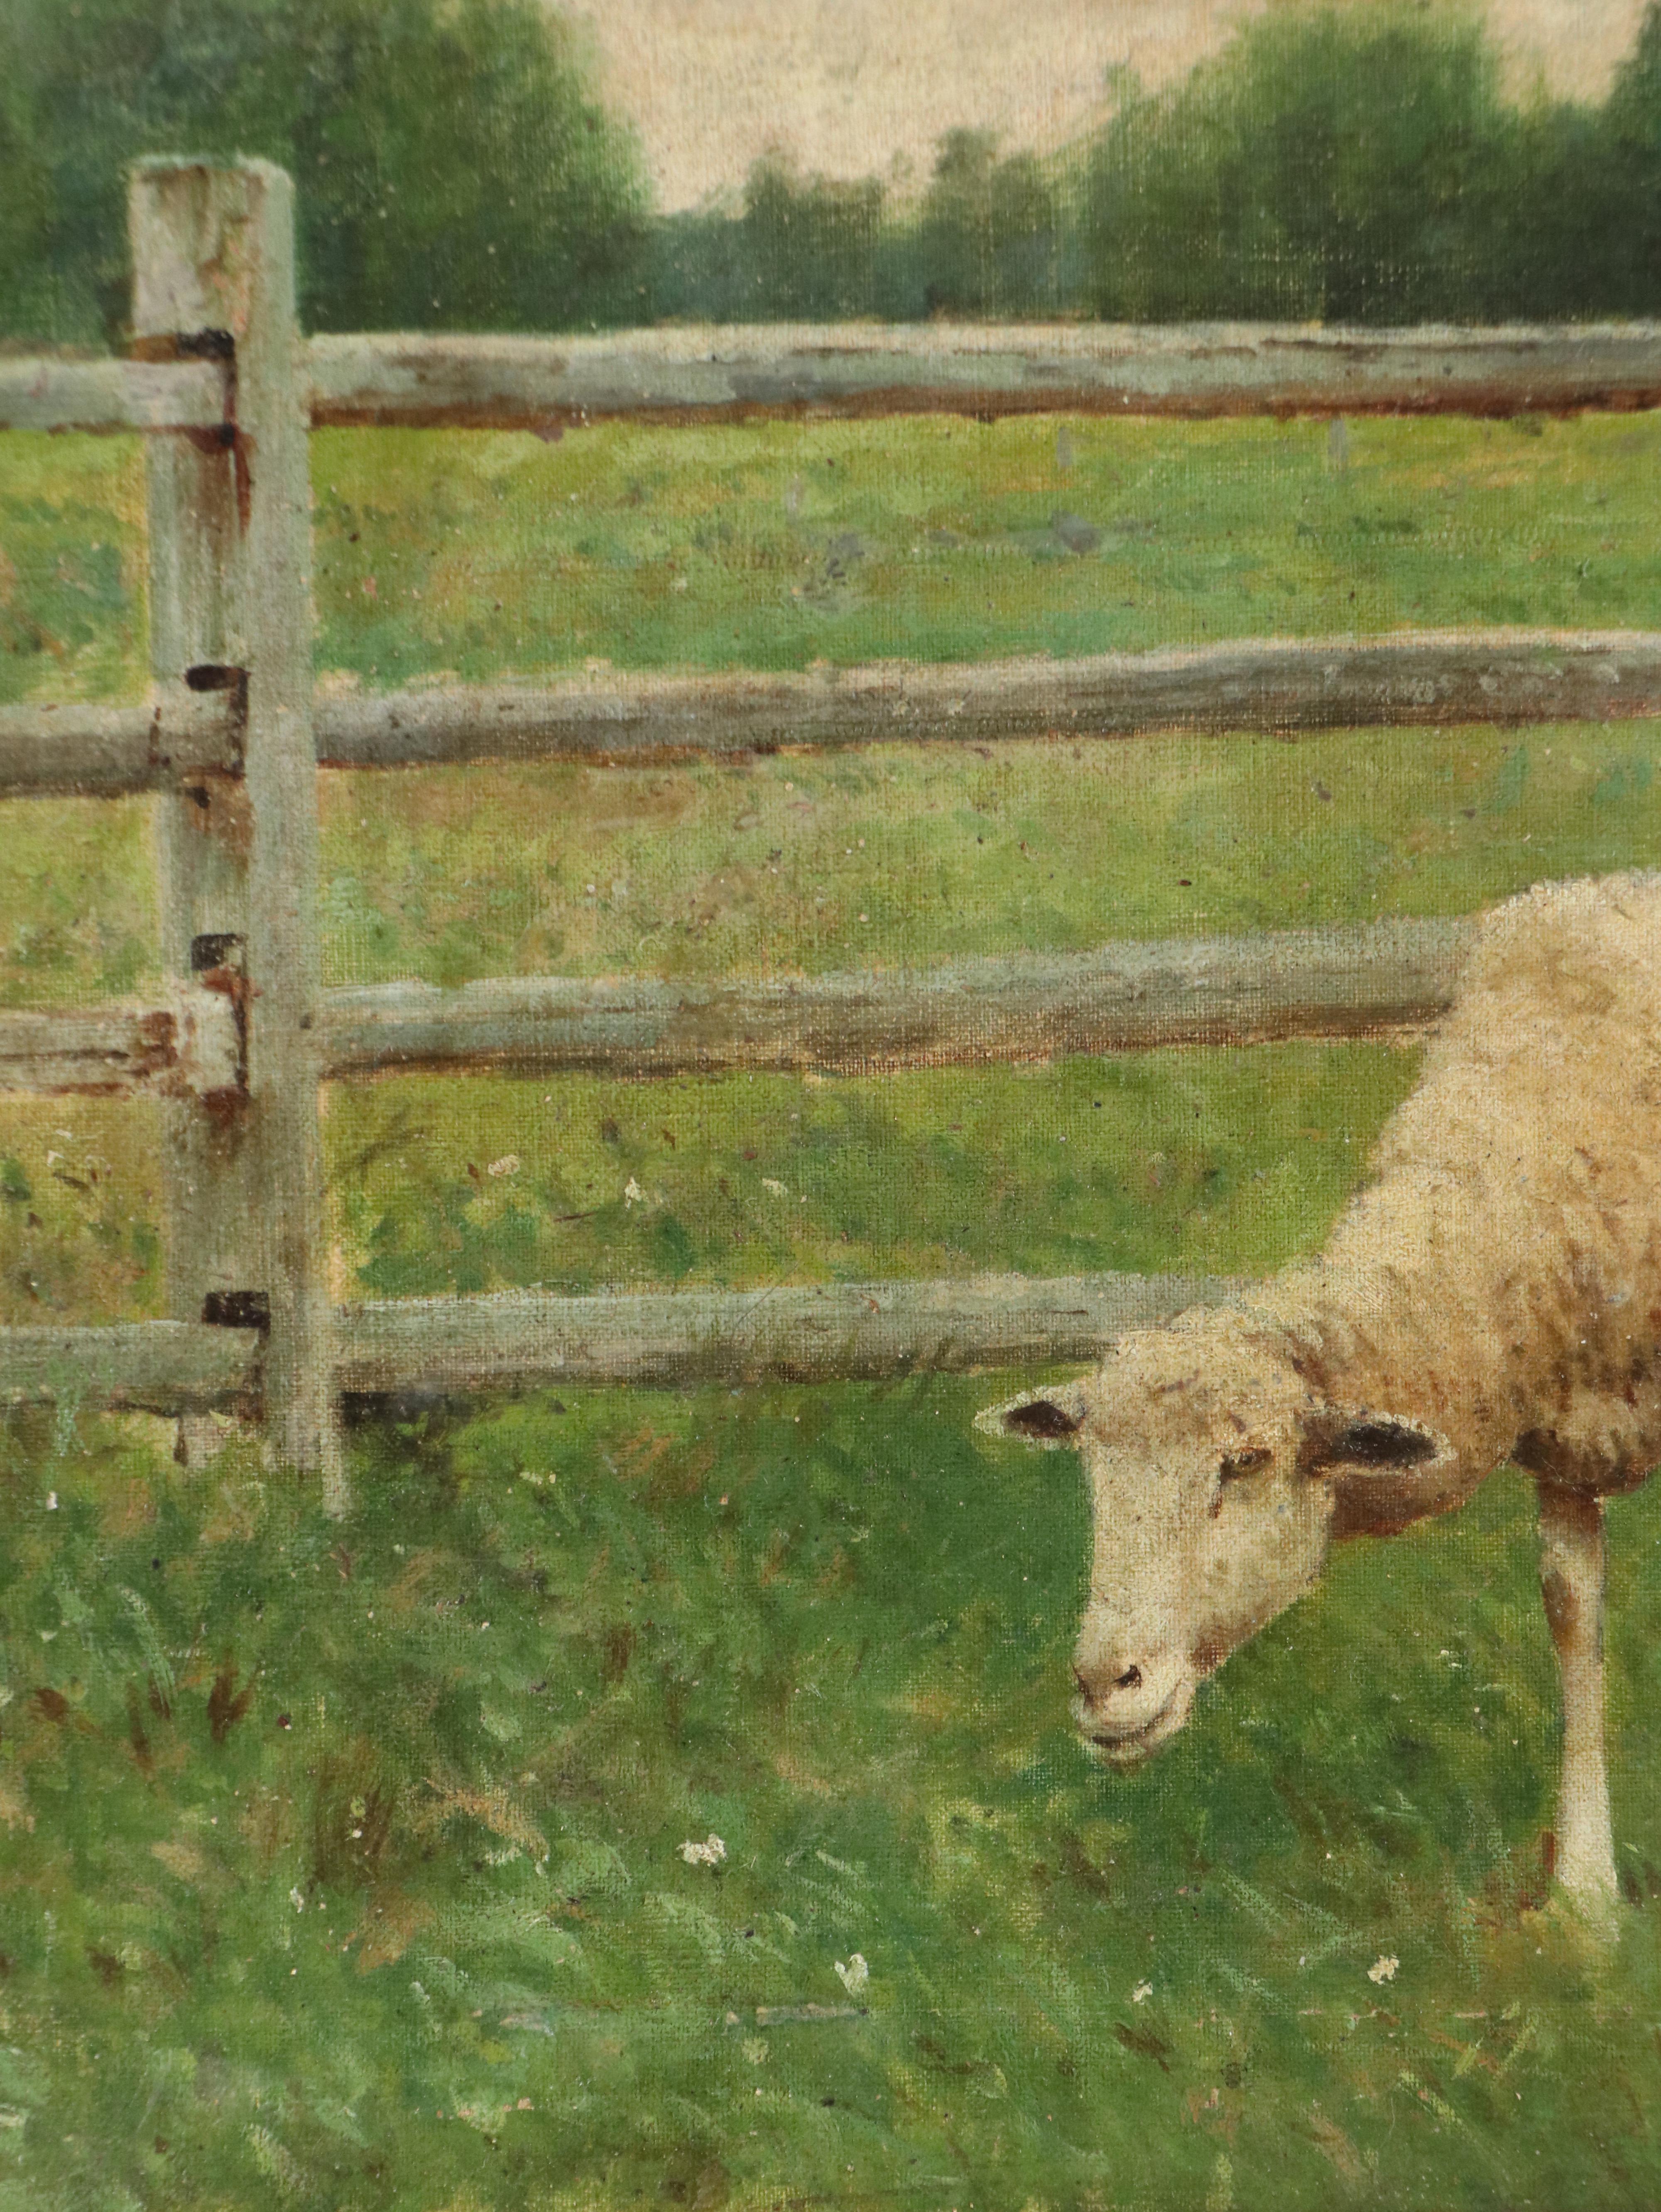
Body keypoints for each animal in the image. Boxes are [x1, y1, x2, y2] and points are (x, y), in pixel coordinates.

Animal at [980, 869, 1661, 1918]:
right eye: (1091, 1472)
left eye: (1244, 1464)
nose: (1103, 1685)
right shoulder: (1566, 1434)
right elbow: (1569, 1613)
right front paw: (1583, 1899)